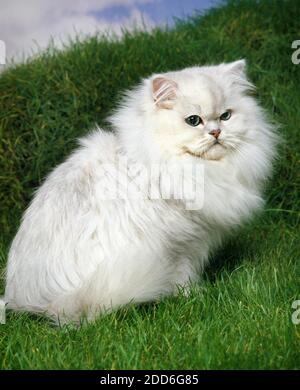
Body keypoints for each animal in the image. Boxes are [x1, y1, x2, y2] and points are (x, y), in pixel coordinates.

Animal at [3, 60, 278, 322]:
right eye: (193, 120)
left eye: (225, 116)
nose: (216, 132)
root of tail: (41, 304)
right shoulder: (183, 246)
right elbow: (184, 277)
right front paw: (194, 295)